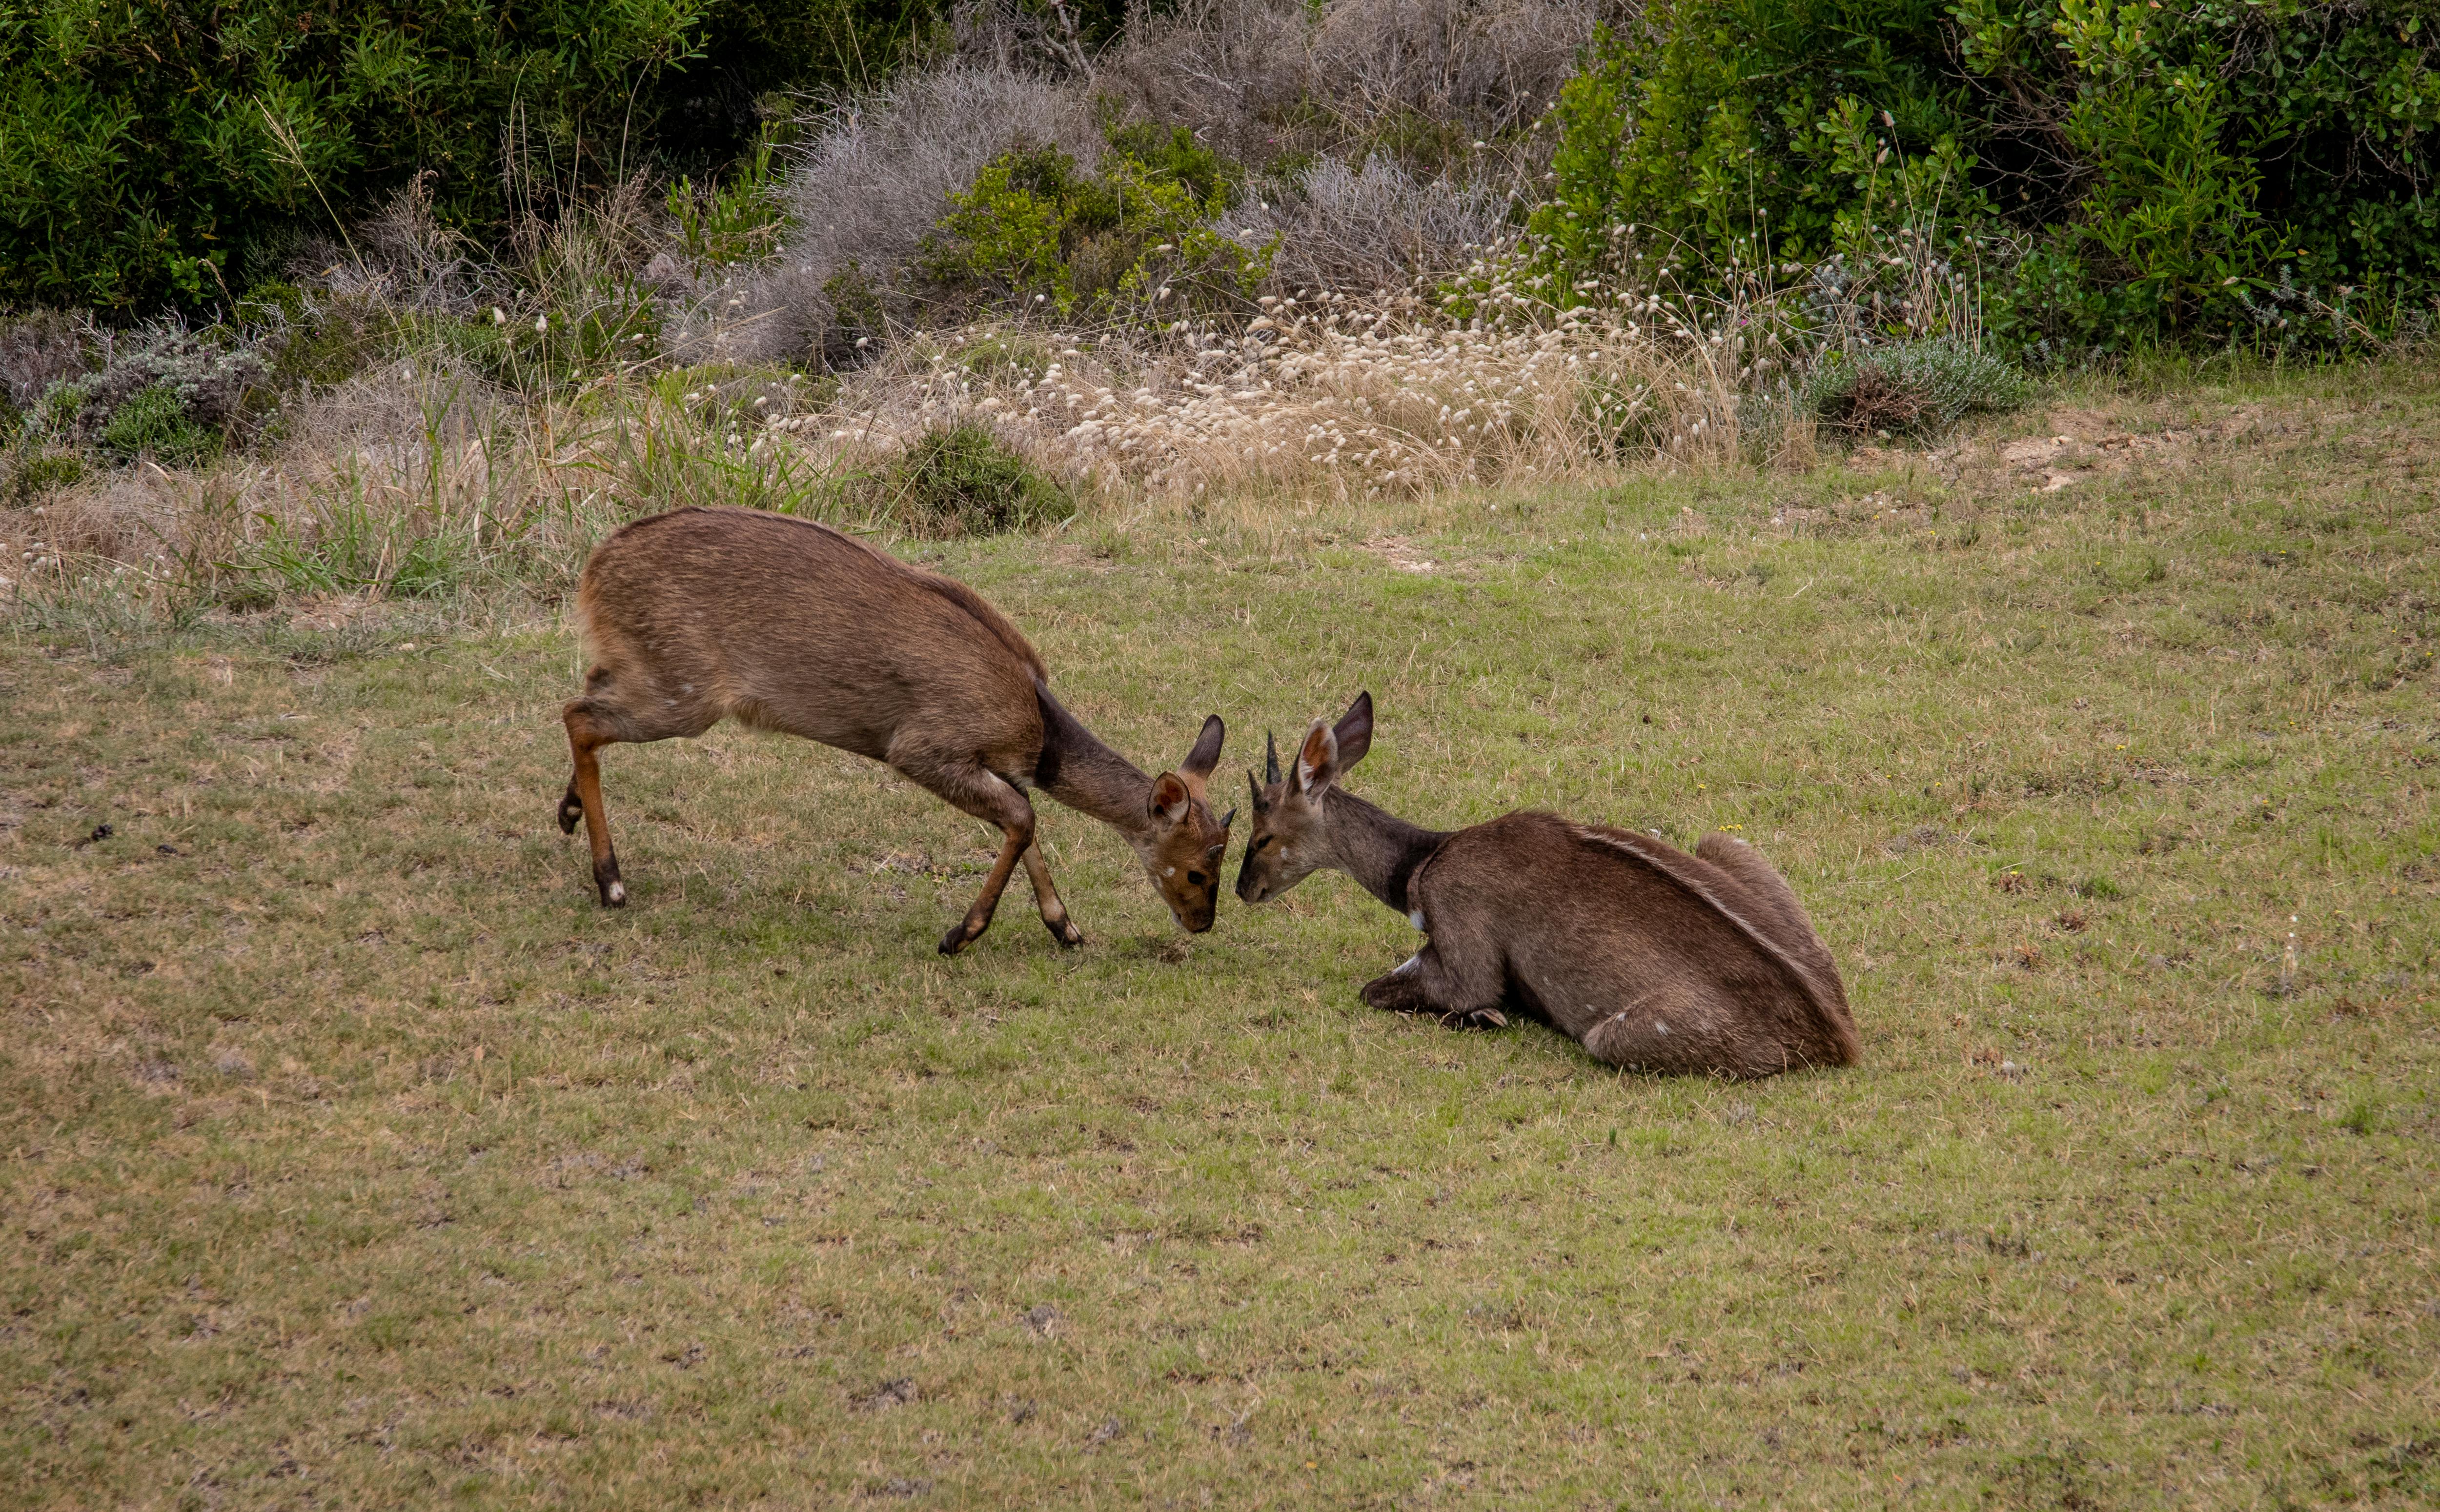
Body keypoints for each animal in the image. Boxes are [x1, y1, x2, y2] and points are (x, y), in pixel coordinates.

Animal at [555, 507, 1233, 954]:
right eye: (1198, 870)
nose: (1202, 923)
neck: (1037, 731)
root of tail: (592, 569)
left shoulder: (986, 761)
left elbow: (1025, 822)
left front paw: (1064, 927)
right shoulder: (923, 746)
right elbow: (1023, 817)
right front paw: (961, 935)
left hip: (647, 669)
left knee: (585, 688)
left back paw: (567, 813)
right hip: (686, 694)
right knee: (577, 713)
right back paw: (611, 883)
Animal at [1233, 692, 1859, 1078]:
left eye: (1260, 835)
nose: (1242, 891)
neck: (1417, 872)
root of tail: (1840, 1038)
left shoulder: (1462, 944)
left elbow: (1393, 991)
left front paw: (1486, 1017)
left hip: (1611, 1035)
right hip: (1721, 843)